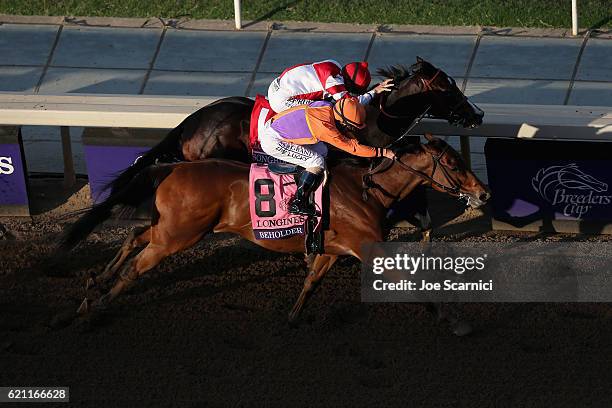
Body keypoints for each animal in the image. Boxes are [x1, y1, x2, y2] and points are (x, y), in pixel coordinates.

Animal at [61, 135, 492, 334]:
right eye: (454, 163)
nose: (484, 193)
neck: (367, 189)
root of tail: (173, 167)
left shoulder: (332, 248)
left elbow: (311, 281)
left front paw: (292, 318)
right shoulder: (367, 247)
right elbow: (411, 283)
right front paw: (453, 320)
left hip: (172, 228)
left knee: (134, 237)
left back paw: (92, 288)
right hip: (178, 236)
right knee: (136, 267)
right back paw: (94, 309)